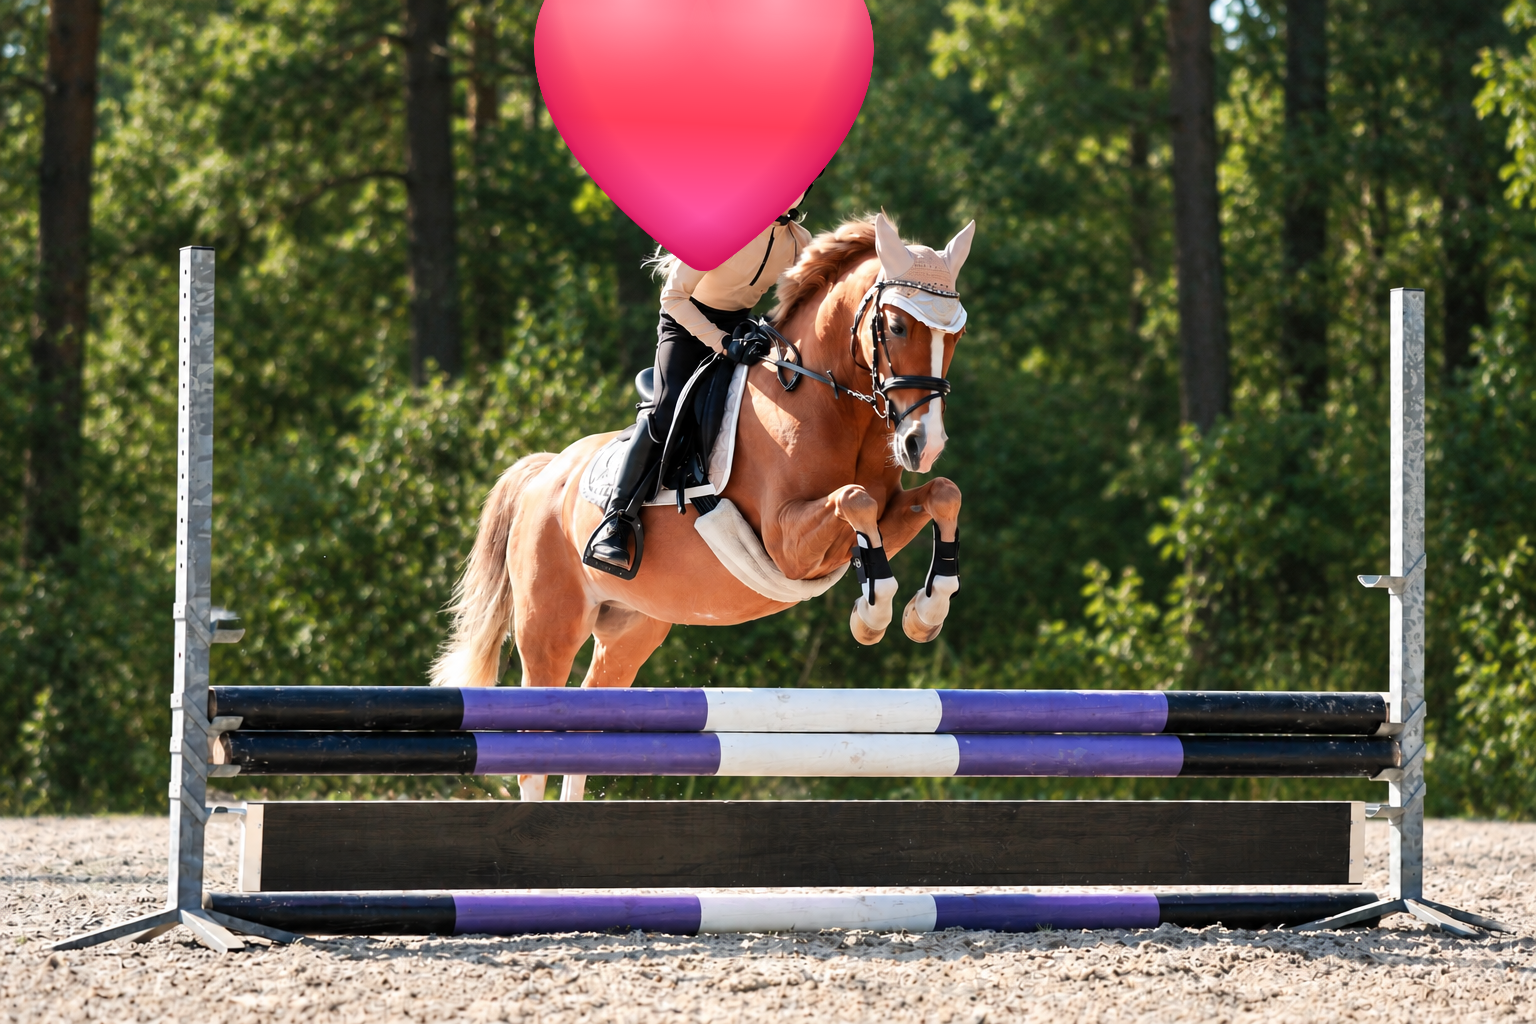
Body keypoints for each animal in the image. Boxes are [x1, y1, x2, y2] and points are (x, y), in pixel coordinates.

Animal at [430, 213, 974, 801]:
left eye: (957, 334)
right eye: (896, 327)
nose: (924, 444)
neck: (821, 397)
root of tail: (547, 472)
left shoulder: (881, 512)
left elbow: (939, 494)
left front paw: (926, 610)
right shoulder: (786, 542)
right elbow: (856, 501)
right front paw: (872, 614)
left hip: (632, 627)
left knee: (586, 730)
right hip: (549, 626)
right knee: (536, 747)